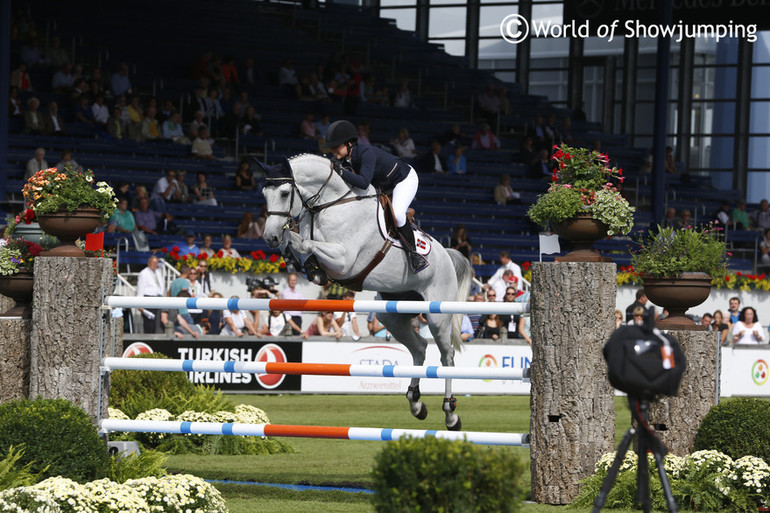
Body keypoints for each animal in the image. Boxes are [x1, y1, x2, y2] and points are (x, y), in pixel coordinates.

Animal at [260, 153, 472, 428]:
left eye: (285, 193)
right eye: (264, 193)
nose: (269, 237)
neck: (328, 204)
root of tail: (446, 254)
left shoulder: (343, 260)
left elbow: (305, 243)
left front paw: (303, 258)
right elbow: (299, 242)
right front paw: (297, 259)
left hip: (437, 316)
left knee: (446, 357)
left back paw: (450, 414)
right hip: (391, 315)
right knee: (418, 348)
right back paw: (415, 402)